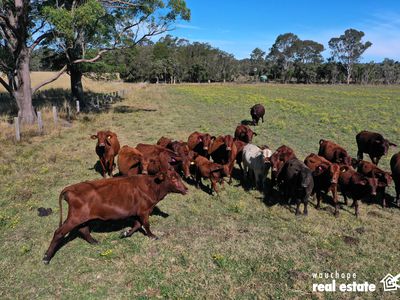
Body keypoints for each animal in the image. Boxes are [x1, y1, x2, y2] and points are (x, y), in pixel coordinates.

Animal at [41, 170, 188, 264]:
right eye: (173, 178)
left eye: (179, 177)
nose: (186, 188)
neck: (152, 186)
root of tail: (70, 188)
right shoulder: (144, 210)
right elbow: (145, 224)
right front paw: (153, 236)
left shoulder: (136, 212)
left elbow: (137, 224)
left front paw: (125, 233)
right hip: (75, 217)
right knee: (59, 232)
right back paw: (46, 257)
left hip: (81, 217)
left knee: (83, 229)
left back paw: (94, 242)